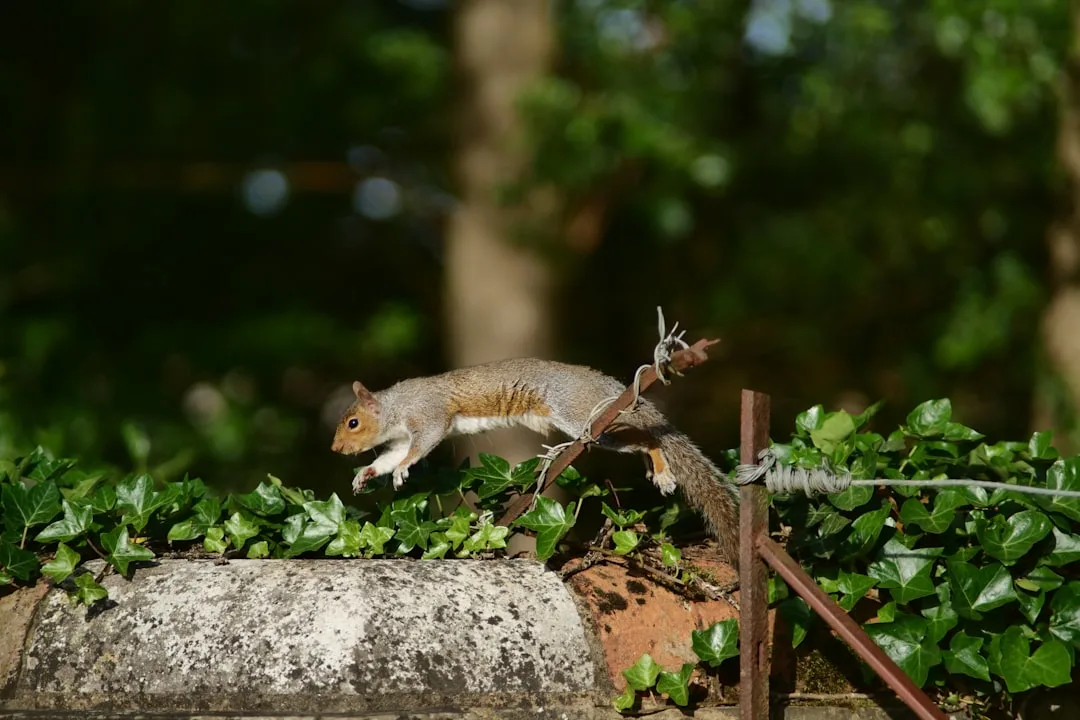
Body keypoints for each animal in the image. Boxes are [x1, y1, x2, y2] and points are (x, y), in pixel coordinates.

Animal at [330, 358, 739, 563]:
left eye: (353, 423)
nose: (335, 449)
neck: (395, 407)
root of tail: (606, 386)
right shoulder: (401, 436)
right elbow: (391, 455)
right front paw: (367, 473)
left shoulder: (427, 416)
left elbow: (420, 445)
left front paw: (402, 469)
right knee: (641, 442)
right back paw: (658, 471)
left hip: (584, 419)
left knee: (647, 439)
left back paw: (662, 466)